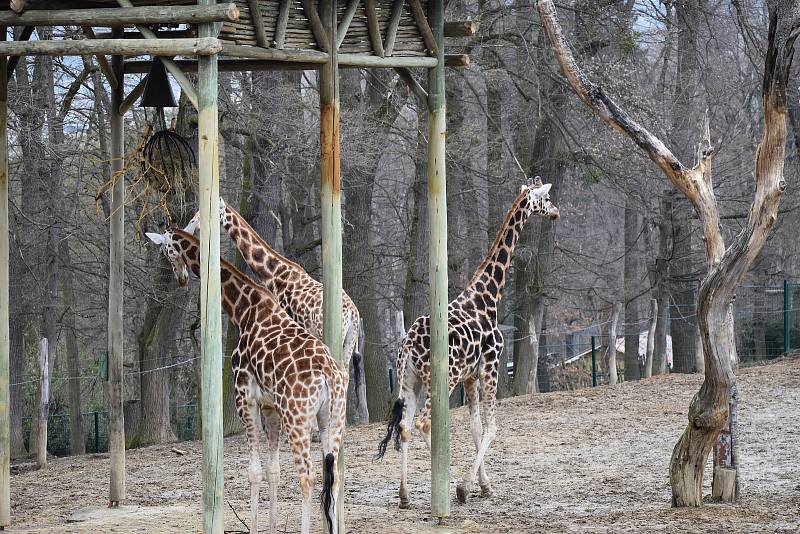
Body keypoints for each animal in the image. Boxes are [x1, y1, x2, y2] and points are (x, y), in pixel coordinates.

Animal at [147, 226, 346, 534]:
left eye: (167, 251)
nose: (180, 278)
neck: (242, 309)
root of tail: (329, 375)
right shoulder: (271, 406)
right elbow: (273, 470)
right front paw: (272, 526)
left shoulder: (245, 396)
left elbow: (253, 471)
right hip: (331, 419)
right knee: (333, 476)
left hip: (298, 417)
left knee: (307, 476)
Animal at [186, 199, 368, 426]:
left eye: (202, 213)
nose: (192, 225)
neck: (275, 275)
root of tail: (353, 313)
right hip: (350, 339)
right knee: (344, 373)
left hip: (329, 331)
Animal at [376, 178, 560, 508]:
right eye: (547, 197)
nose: (557, 212)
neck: (487, 298)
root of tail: (407, 345)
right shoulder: (491, 366)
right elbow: (491, 427)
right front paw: (465, 487)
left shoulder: (471, 377)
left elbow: (475, 427)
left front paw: (484, 486)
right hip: (441, 379)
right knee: (424, 423)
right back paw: (446, 487)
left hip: (409, 380)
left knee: (405, 426)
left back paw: (405, 496)